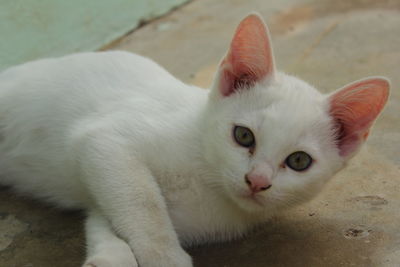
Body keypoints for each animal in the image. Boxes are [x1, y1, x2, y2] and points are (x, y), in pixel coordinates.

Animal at [0, 13, 390, 267]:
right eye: (243, 135)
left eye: (299, 161)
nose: (256, 181)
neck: (206, 179)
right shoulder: (105, 143)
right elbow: (142, 202)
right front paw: (163, 257)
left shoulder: (109, 185)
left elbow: (106, 218)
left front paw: (110, 256)